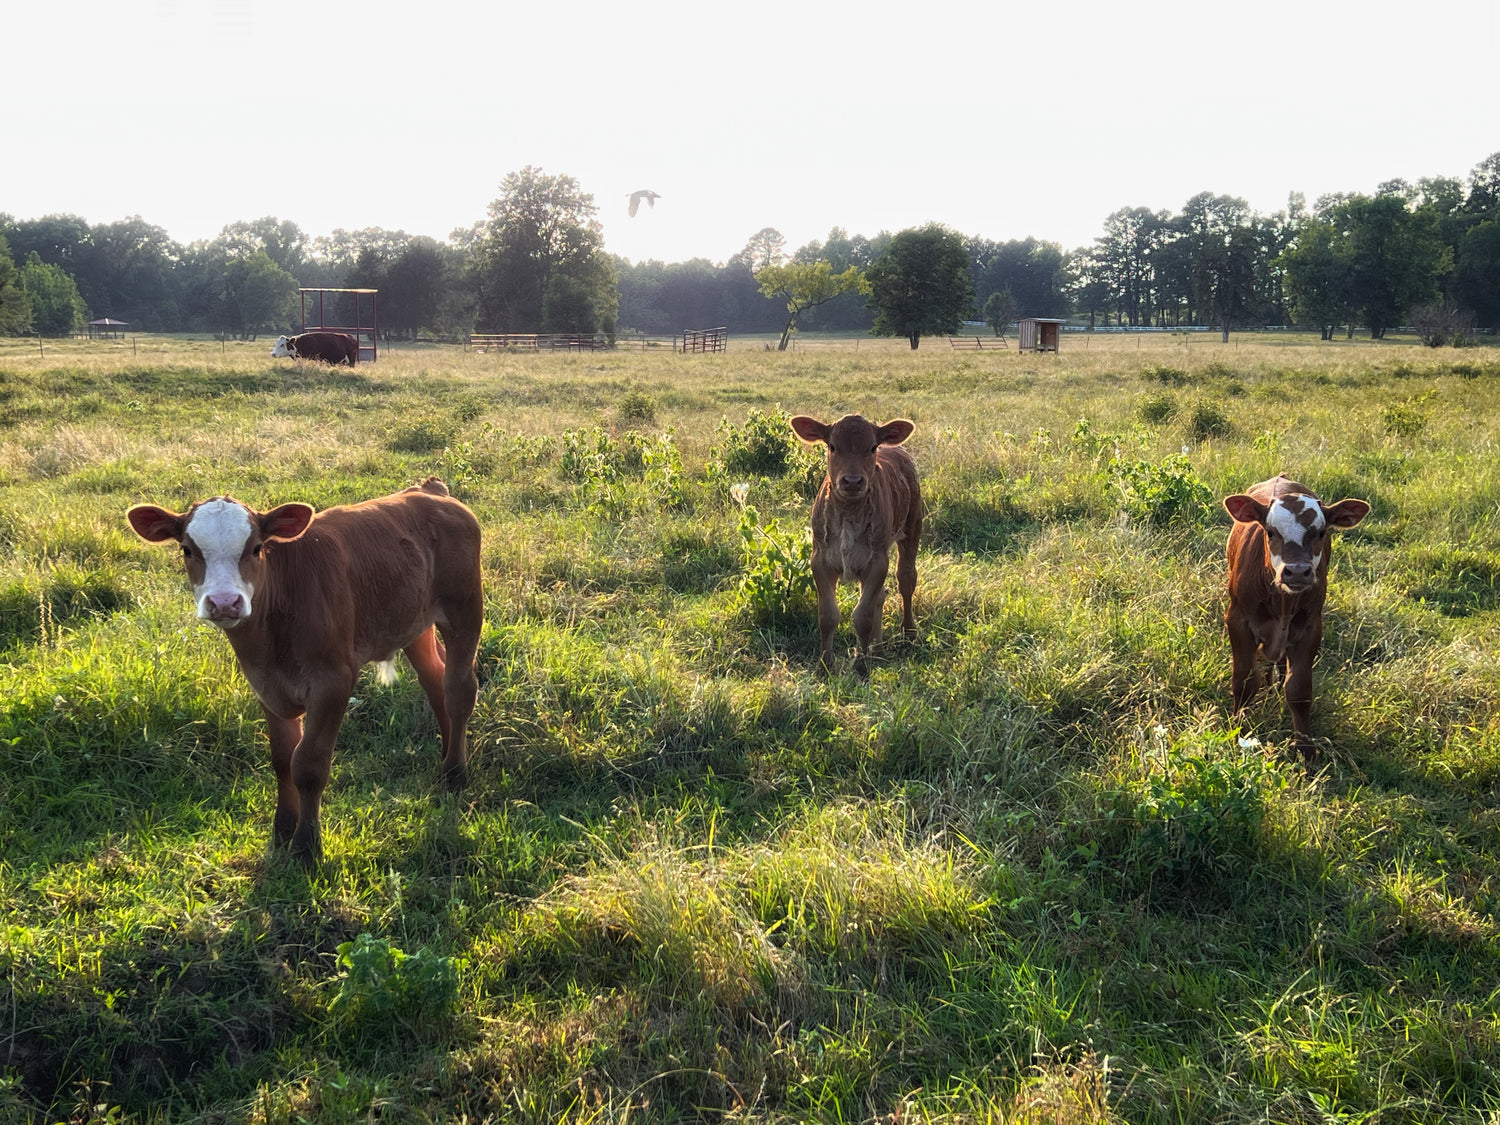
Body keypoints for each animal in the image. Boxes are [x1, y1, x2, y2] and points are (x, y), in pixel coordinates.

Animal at [126, 477, 483, 863]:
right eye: (187, 550)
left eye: (256, 548)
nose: (224, 603)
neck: (270, 637)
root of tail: (430, 492)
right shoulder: (266, 685)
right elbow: (283, 759)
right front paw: (283, 829)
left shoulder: (333, 682)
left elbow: (309, 765)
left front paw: (306, 846)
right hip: (413, 622)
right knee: (436, 682)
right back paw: (448, 758)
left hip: (464, 609)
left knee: (459, 689)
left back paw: (456, 774)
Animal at [789, 413, 922, 674]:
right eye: (832, 446)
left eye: (871, 447)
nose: (852, 481)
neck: (849, 512)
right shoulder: (820, 560)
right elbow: (828, 616)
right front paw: (825, 665)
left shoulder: (876, 561)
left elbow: (863, 617)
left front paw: (861, 666)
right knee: (881, 594)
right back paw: (878, 650)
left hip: (913, 526)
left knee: (906, 579)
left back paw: (908, 632)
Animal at [1222, 474, 1370, 756]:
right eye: (1271, 532)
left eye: (1321, 533)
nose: (1298, 571)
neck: (1282, 601)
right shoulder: (1237, 620)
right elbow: (1244, 682)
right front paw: (1238, 730)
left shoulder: (1310, 628)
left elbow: (1299, 690)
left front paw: (1305, 748)